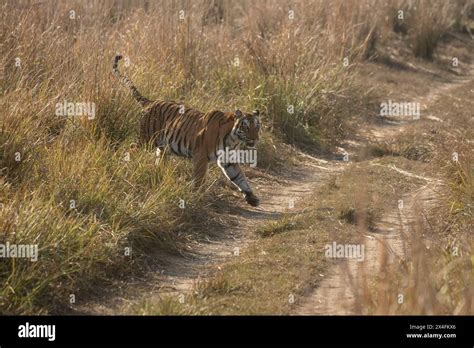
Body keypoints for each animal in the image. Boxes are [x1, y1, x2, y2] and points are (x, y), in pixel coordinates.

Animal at [113, 54, 262, 207]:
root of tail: (151, 102)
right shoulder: (201, 156)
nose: (255, 139)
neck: (233, 139)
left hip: (162, 147)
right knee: (132, 148)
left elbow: (240, 178)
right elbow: (199, 179)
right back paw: (125, 166)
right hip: (146, 140)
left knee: (158, 160)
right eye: (246, 127)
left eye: (257, 127)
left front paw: (251, 197)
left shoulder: (228, 160)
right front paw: (197, 196)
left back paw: (157, 175)